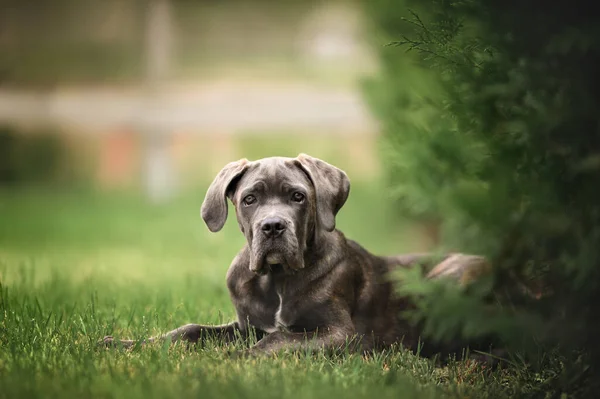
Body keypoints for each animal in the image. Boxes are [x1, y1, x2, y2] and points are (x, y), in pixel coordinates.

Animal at [99, 155, 492, 358]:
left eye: (298, 197)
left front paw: (231, 360)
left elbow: (279, 339)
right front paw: (124, 344)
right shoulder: (246, 326)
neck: (276, 279)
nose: (273, 226)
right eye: (249, 199)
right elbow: (190, 330)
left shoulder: (340, 334)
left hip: (453, 277)